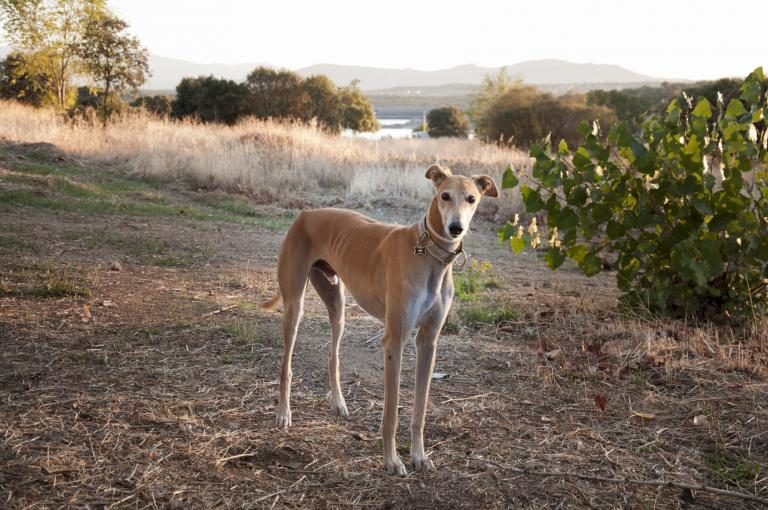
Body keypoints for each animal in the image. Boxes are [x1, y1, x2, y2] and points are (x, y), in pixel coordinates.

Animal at [258, 165, 498, 476]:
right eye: (444, 196)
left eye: (471, 198)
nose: (455, 228)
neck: (428, 254)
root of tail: (306, 213)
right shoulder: (394, 341)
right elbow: (391, 413)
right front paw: (392, 461)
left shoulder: (428, 342)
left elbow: (420, 410)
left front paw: (419, 456)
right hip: (294, 305)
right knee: (286, 364)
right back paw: (283, 413)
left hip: (337, 305)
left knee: (333, 356)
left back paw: (338, 403)